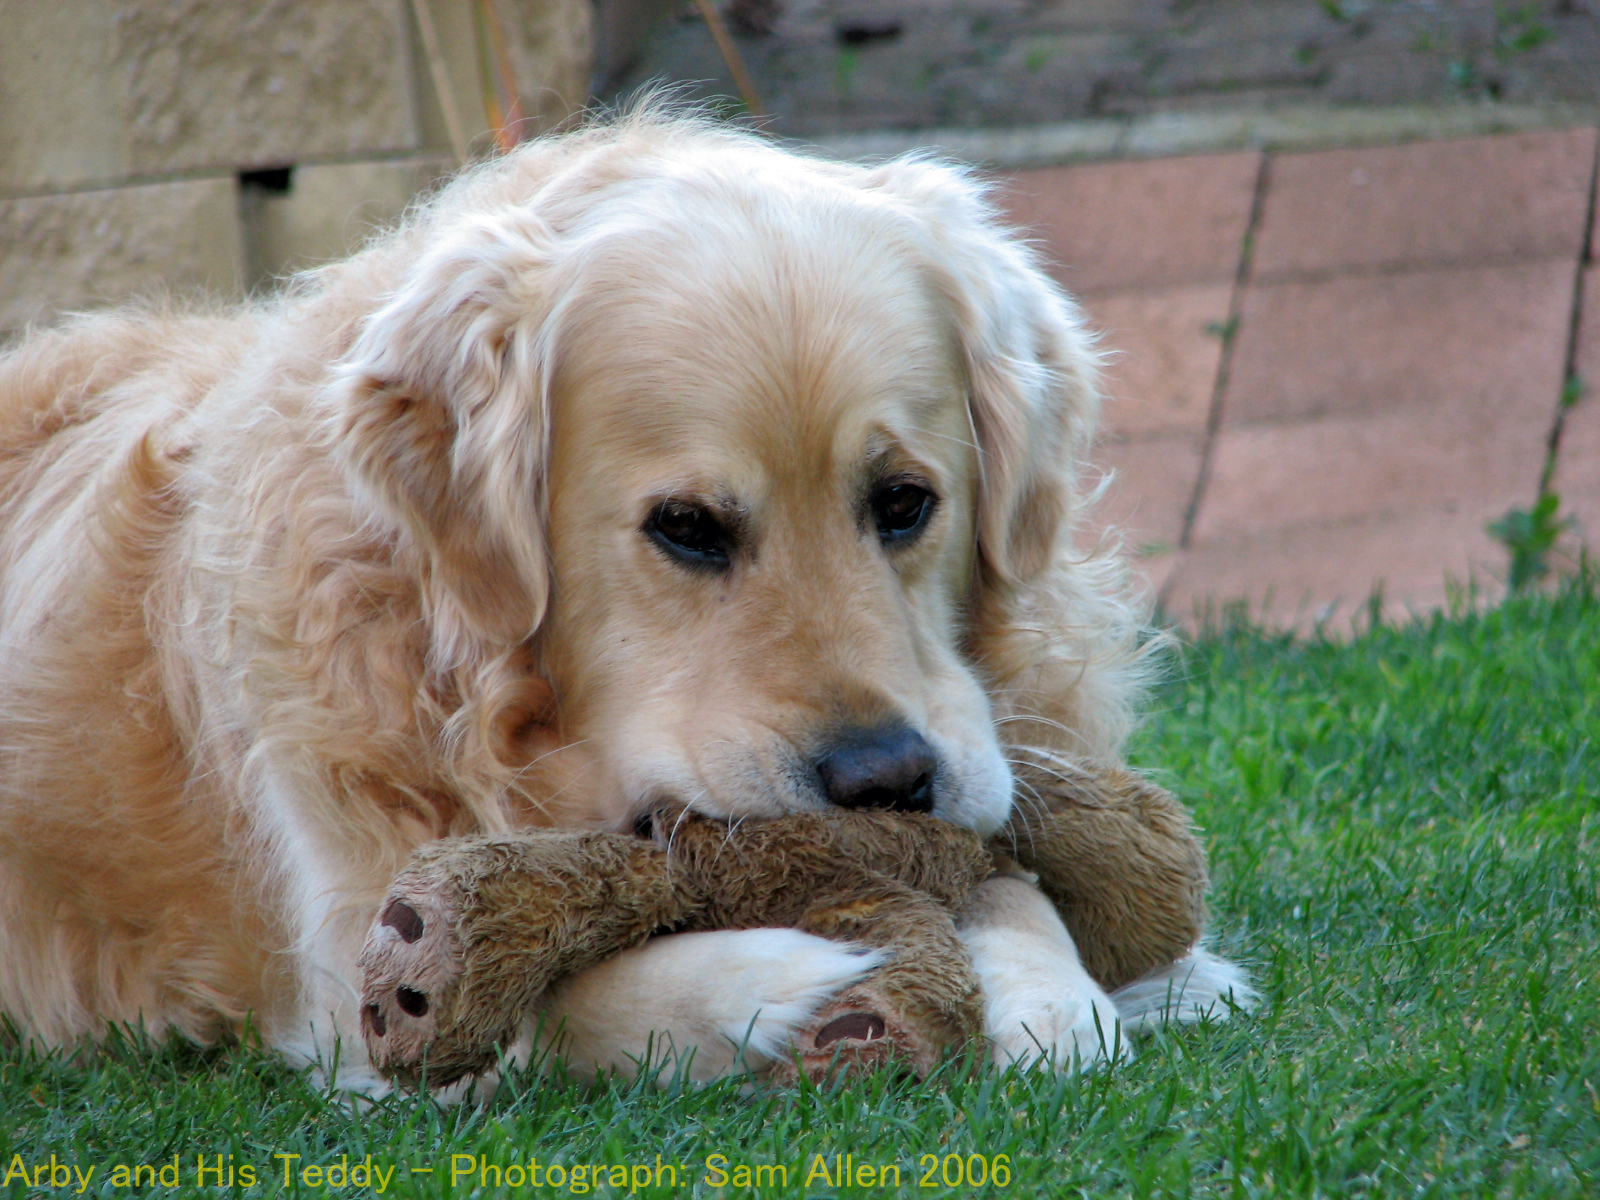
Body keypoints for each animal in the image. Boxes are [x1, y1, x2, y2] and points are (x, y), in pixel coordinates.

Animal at [0, 108, 1241, 1094]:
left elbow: (1006, 870)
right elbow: (559, 1005)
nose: (884, 781)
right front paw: (784, 982)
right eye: (685, 527)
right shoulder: (355, 938)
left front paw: (1049, 986)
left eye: (904, 501)